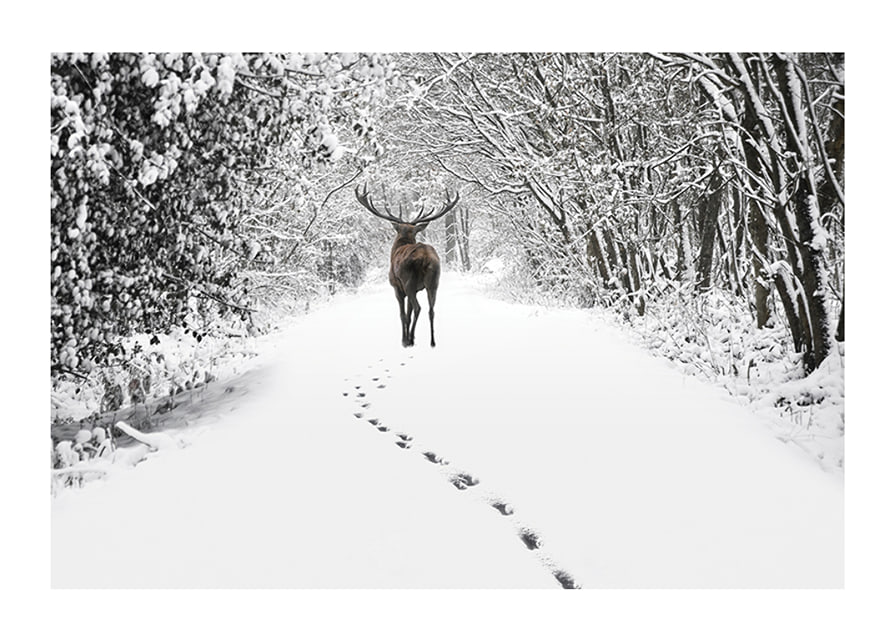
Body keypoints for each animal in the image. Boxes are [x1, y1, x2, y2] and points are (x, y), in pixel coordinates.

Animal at [355, 184, 460, 348]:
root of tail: (425, 257)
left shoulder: (397, 287)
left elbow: (403, 314)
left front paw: (404, 339)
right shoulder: (416, 289)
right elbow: (409, 314)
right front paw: (412, 336)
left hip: (409, 280)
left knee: (418, 308)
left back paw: (409, 340)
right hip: (434, 281)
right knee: (431, 310)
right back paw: (432, 342)